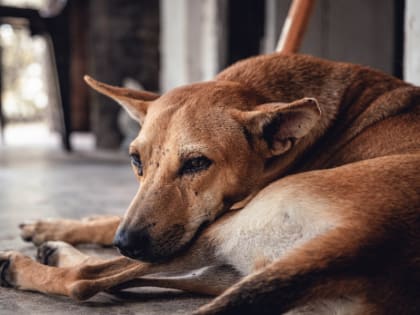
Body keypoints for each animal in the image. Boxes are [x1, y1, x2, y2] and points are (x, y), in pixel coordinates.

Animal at [0, 53, 420, 314]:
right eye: (136, 160)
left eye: (197, 163)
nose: (127, 242)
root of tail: (360, 243)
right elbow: (109, 221)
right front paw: (55, 225)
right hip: (228, 271)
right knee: (119, 277)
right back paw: (57, 249)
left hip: (218, 230)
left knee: (87, 279)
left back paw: (25, 266)